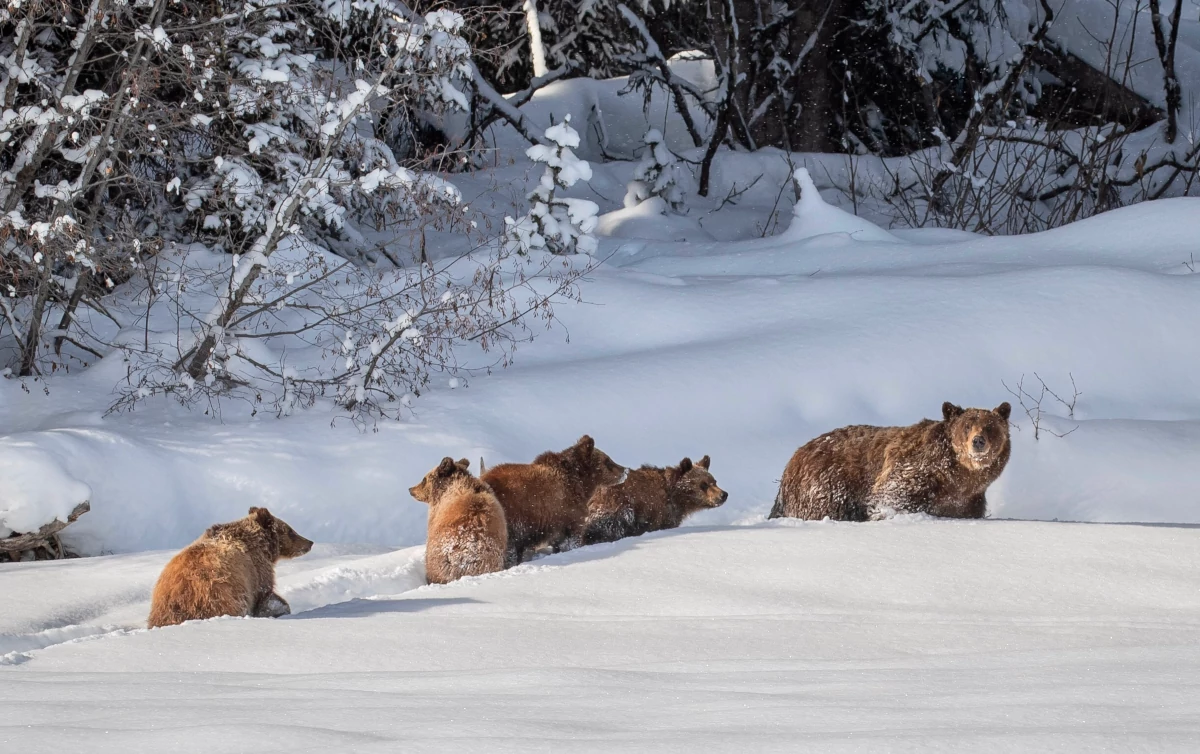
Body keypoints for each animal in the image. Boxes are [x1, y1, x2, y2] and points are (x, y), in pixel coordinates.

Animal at [148, 506, 314, 629]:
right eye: (290, 531)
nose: (310, 542)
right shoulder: (257, 573)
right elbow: (267, 597)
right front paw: (279, 609)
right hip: (221, 595)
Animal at [768, 403, 1012, 521]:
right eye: (967, 426)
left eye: (990, 426)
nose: (978, 441)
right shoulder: (913, 472)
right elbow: (892, 498)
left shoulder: (968, 500)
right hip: (827, 483)